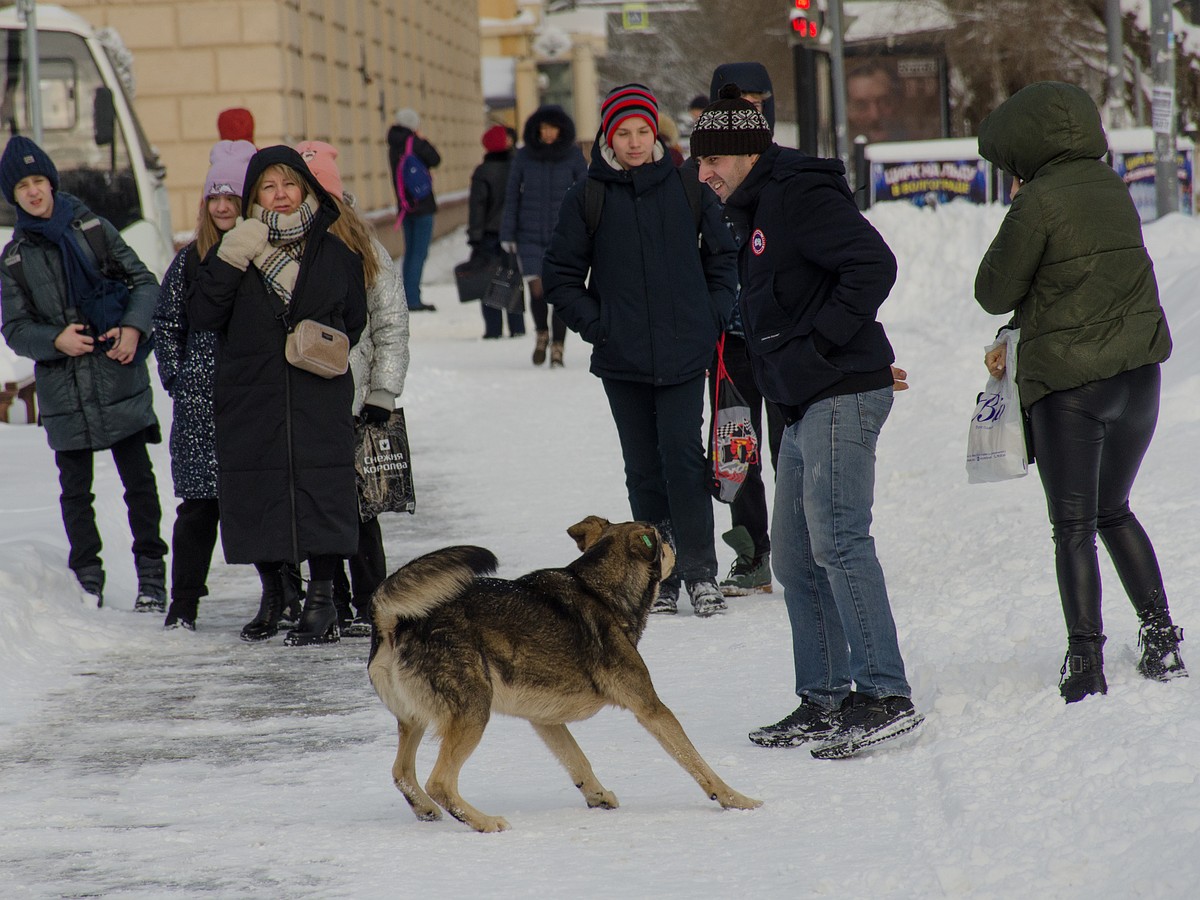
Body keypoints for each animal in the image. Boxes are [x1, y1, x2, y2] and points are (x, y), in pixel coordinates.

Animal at [367, 518, 758, 835]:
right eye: (660, 539)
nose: (669, 530)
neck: (600, 590)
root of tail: (393, 621)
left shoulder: (545, 720)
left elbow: (578, 760)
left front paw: (598, 796)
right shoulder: (650, 708)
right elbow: (697, 762)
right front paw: (737, 800)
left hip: (414, 719)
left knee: (402, 773)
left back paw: (426, 810)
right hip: (473, 712)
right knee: (440, 782)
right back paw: (484, 822)